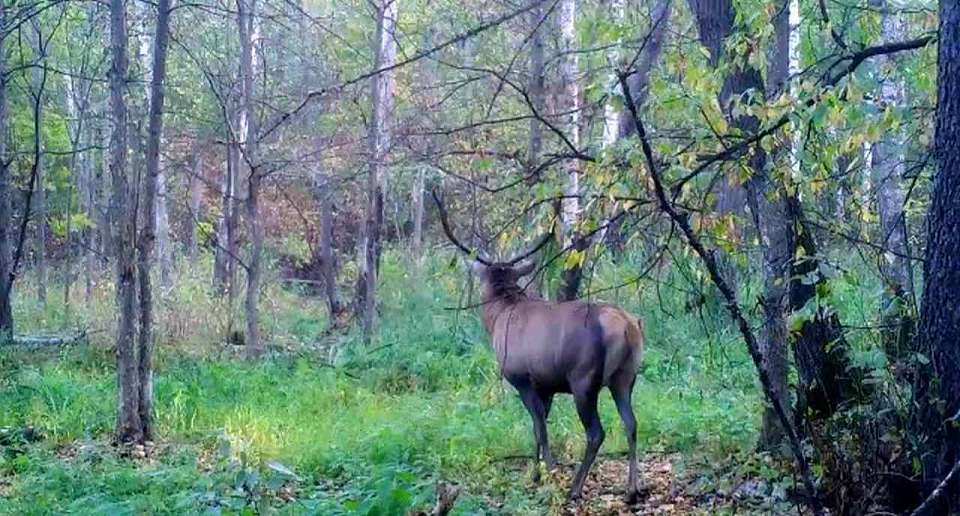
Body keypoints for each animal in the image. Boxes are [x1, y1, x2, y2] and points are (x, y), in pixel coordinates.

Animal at [434, 191, 644, 502]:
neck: (498, 316)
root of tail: (628, 327)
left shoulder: (522, 378)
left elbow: (539, 427)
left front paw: (545, 473)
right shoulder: (548, 385)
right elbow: (539, 426)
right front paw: (538, 471)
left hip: (584, 379)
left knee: (596, 432)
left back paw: (575, 488)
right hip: (626, 377)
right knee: (631, 423)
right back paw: (632, 488)